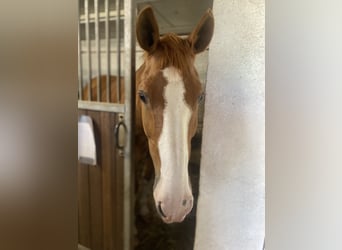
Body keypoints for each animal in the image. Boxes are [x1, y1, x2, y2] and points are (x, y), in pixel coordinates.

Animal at [83, 6, 214, 225]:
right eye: (142, 95)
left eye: (201, 95)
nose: (175, 204)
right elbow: (134, 182)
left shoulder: (152, 155)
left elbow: (145, 179)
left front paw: (144, 209)